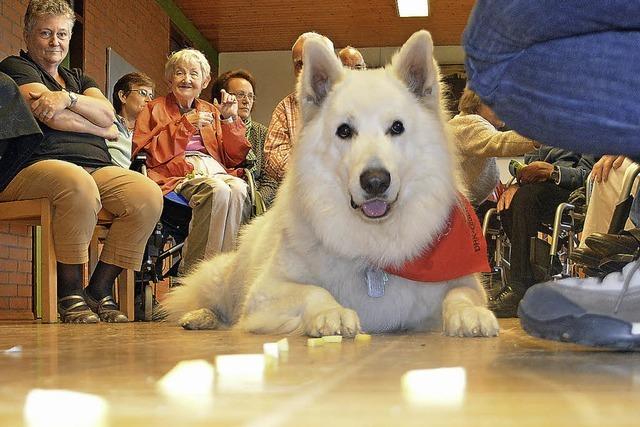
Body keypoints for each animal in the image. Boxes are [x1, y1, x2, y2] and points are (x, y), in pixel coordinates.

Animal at [164, 29, 500, 338]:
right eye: (344, 131)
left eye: (397, 127)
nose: (375, 182)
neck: (372, 246)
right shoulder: (264, 292)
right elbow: (313, 291)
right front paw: (331, 313)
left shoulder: (463, 279)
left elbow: (462, 294)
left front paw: (470, 314)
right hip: (223, 276)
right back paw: (201, 316)